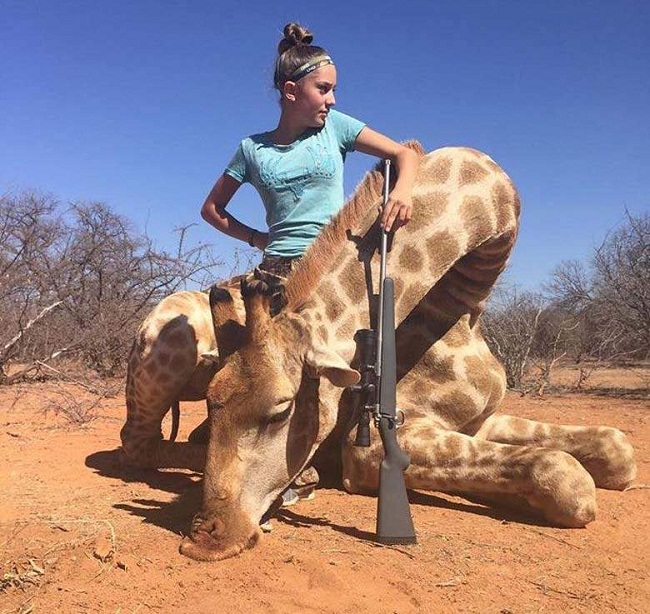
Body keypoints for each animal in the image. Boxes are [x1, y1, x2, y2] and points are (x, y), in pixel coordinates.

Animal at [121, 145, 636, 562]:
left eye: (280, 410)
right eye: (213, 402)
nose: (204, 540)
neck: (463, 313)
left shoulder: (481, 420)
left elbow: (616, 449)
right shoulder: (367, 450)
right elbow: (564, 473)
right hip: (171, 345)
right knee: (137, 443)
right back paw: (303, 479)